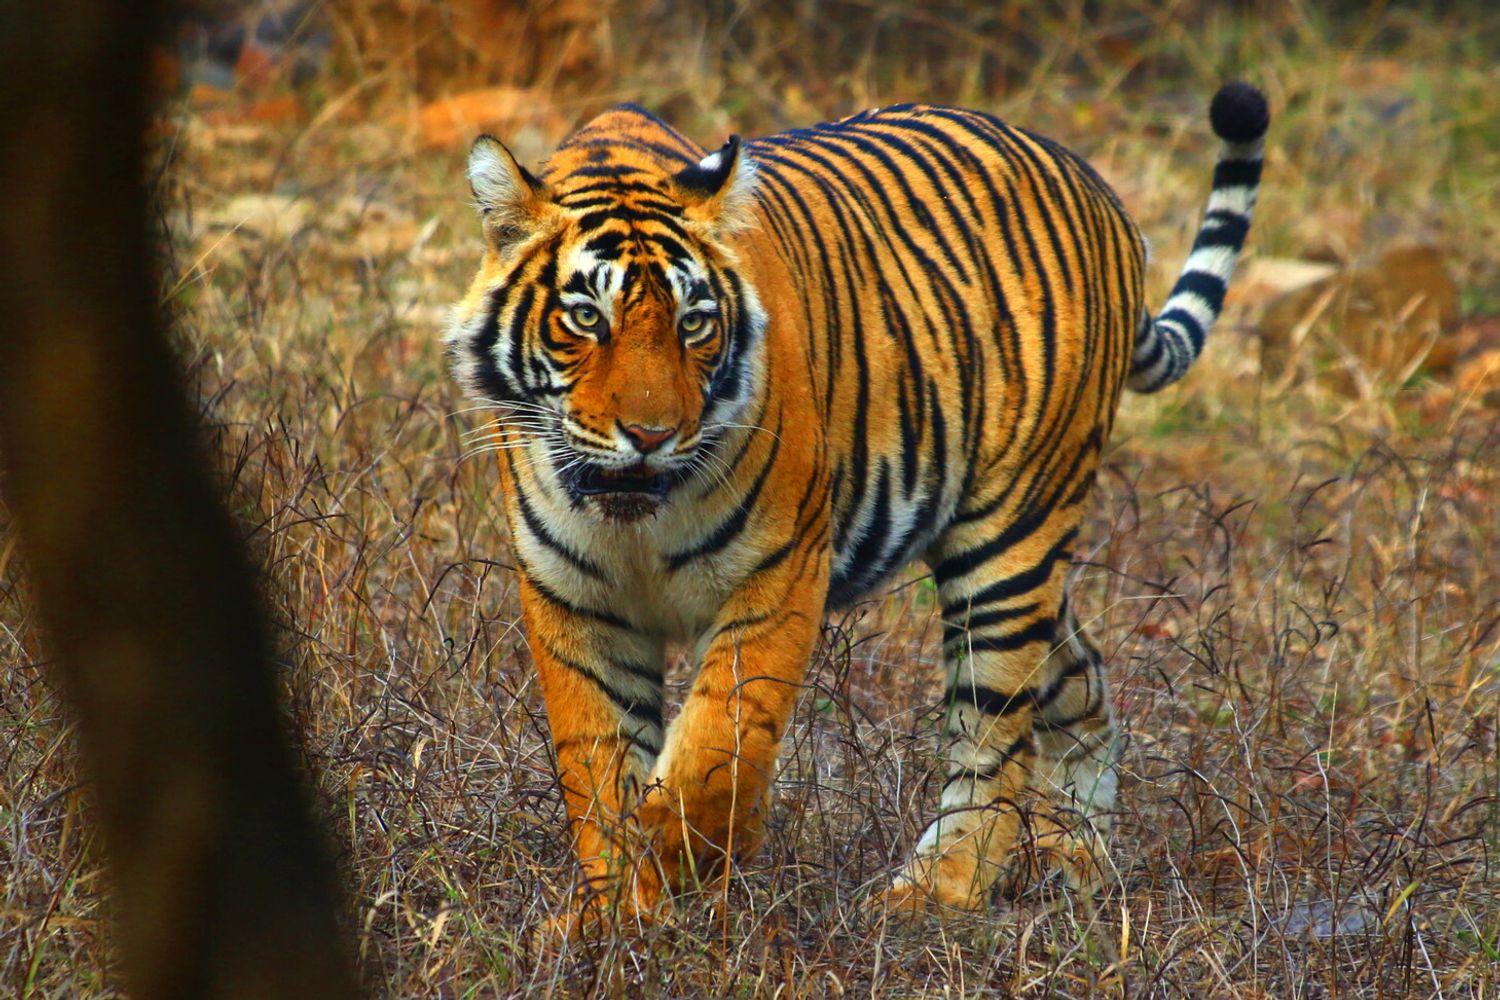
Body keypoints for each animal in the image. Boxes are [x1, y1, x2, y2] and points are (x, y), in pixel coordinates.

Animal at [445, 83, 1269, 929]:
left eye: (693, 323)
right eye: (586, 318)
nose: (650, 435)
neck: (638, 521)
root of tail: (1097, 188)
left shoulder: (778, 573)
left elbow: (718, 750)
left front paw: (677, 869)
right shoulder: (573, 597)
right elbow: (598, 763)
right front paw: (616, 916)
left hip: (1011, 541)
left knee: (995, 731)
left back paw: (939, 889)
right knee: (1081, 675)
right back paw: (1078, 853)